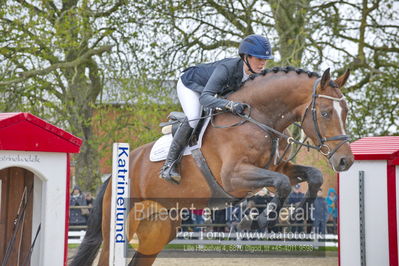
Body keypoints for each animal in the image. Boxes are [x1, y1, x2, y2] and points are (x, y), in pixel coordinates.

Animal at [71, 67, 354, 266]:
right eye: (326, 113)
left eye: (346, 111)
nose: (345, 160)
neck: (258, 118)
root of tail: (112, 178)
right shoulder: (233, 177)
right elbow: (282, 184)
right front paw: (260, 220)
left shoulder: (277, 167)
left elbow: (311, 176)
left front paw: (295, 214)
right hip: (119, 227)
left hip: (159, 230)